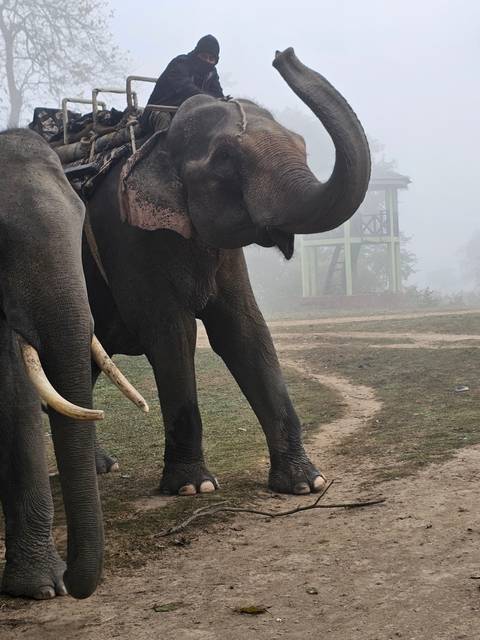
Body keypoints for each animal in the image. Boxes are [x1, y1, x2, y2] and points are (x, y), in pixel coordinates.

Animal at [84, 48, 371, 495]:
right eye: (225, 159)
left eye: (302, 146)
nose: (283, 54)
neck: (157, 139)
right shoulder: (126, 236)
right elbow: (172, 332)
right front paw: (193, 487)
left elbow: (245, 329)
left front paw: (307, 483)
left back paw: (102, 467)